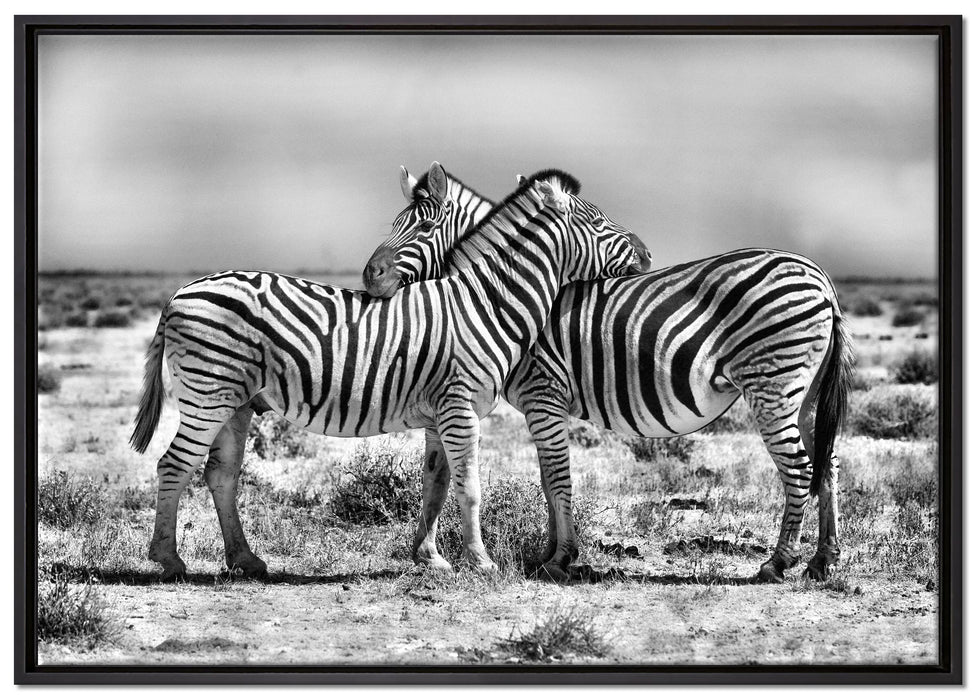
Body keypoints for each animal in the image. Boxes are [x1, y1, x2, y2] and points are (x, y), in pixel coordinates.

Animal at [129, 164, 650, 579]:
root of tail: (179, 293)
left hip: (234, 400)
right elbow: (471, 486)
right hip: (208, 392)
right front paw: (481, 563)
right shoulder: (460, 407)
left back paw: (245, 560)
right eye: (599, 222)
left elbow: (436, 485)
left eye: (424, 227)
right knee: (172, 464)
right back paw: (169, 561)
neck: (486, 303)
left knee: (220, 474)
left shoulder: (442, 414)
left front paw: (433, 558)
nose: (647, 256)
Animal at [362, 167, 854, 583]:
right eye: (394, 223)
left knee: (799, 468)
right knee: (826, 463)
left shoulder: (543, 393)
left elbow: (557, 476)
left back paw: (778, 563)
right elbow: (547, 480)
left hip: (771, 384)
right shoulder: (543, 405)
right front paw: (549, 554)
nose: (370, 275)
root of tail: (821, 278)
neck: (499, 293)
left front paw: (560, 558)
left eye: (423, 228)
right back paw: (822, 560)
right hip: (803, 391)